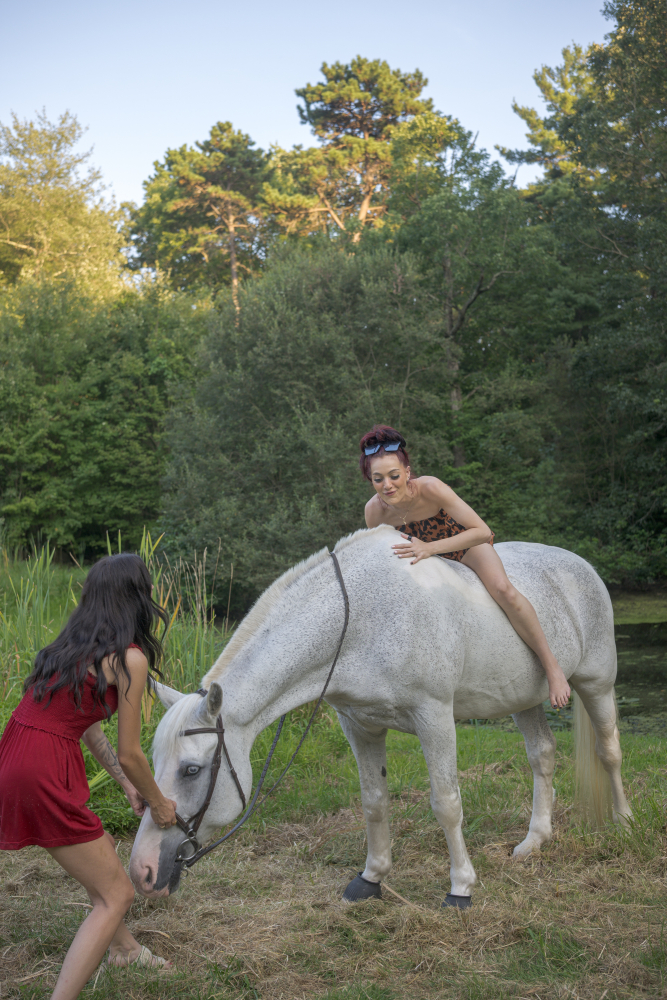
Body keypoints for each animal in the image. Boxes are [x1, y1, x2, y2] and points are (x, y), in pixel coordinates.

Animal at [129, 526, 631, 905]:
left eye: (191, 769)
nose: (142, 871)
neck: (358, 621)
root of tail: (580, 565)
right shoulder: (360, 725)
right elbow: (374, 802)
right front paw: (371, 877)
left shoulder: (434, 718)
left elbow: (447, 804)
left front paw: (461, 887)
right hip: (523, 700)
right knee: (542, 755)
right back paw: (535, 840)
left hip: (597, 683)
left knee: (609, 750)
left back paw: (624, 822)